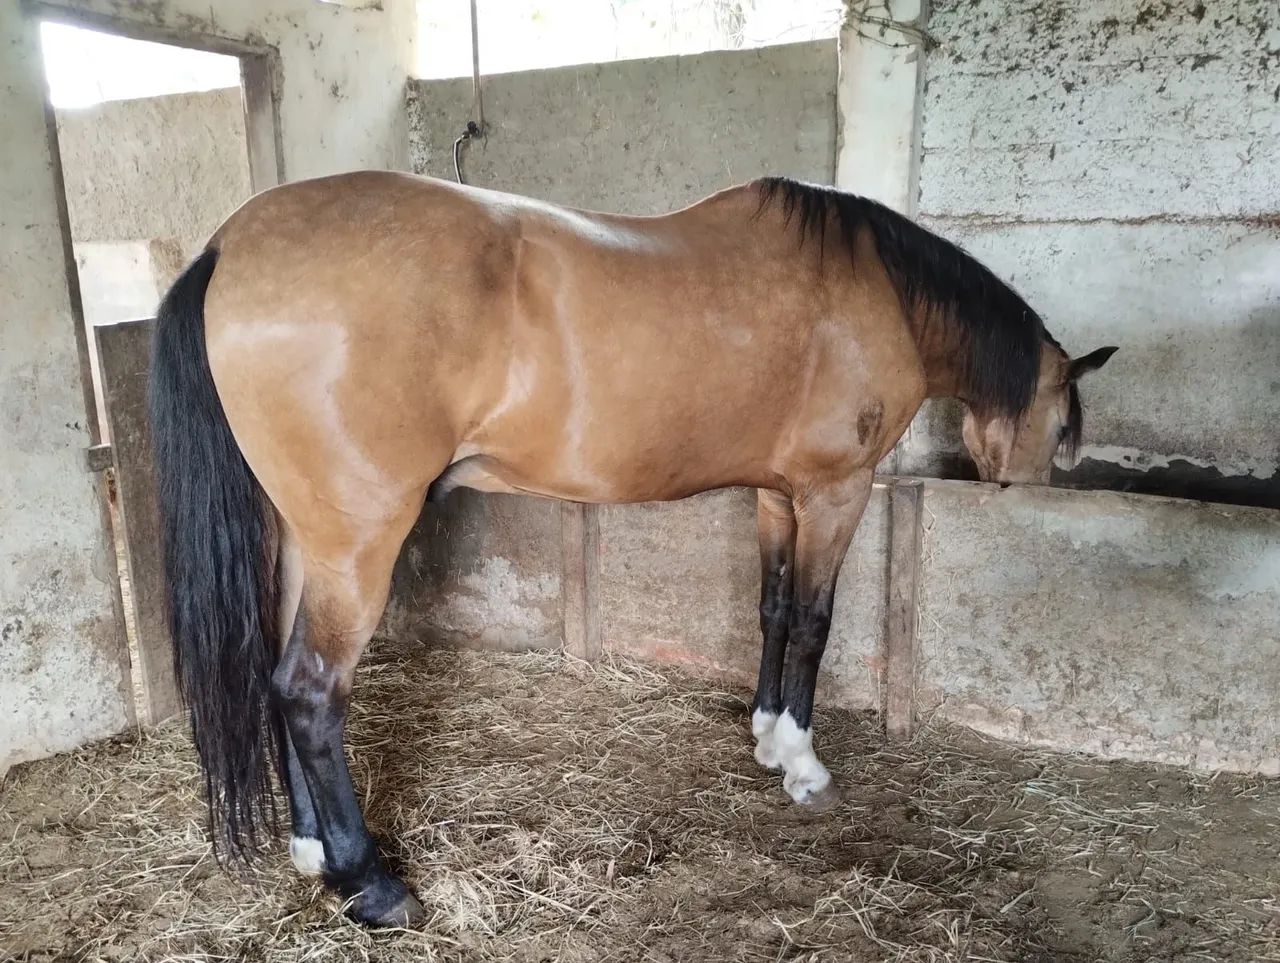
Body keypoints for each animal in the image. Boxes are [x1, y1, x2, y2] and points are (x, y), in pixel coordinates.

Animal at [148, 172, 1116, 927]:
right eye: (1064, 422)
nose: (1031, 488)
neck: (880, 292)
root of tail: (230, 246)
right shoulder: (835, 492)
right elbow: (813, 621)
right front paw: (804, 765)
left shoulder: (776, 493)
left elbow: (771, 608)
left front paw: (766, 736)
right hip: (357, 542)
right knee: (312, 691)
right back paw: (372, 885)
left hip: (302, 538)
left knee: (277, 678)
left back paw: (313, 852)